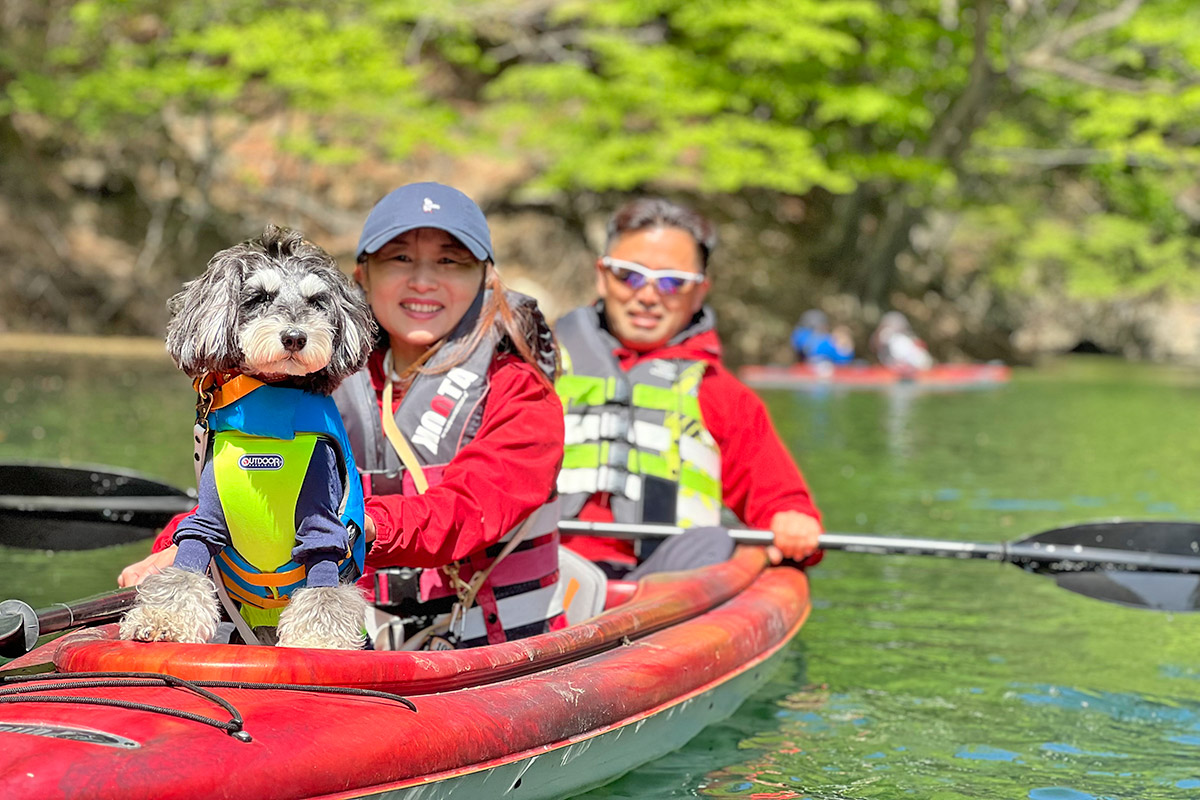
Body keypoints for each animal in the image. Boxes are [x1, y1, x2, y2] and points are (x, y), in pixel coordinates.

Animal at [120, 225, 374, 652]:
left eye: (316, 302)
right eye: (258, 298)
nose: (295, 337)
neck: (268, 423)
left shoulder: (322, 526)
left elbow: (325, 593)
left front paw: (318, 642)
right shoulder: (207, 518)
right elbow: (184, 571)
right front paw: (162, 620)